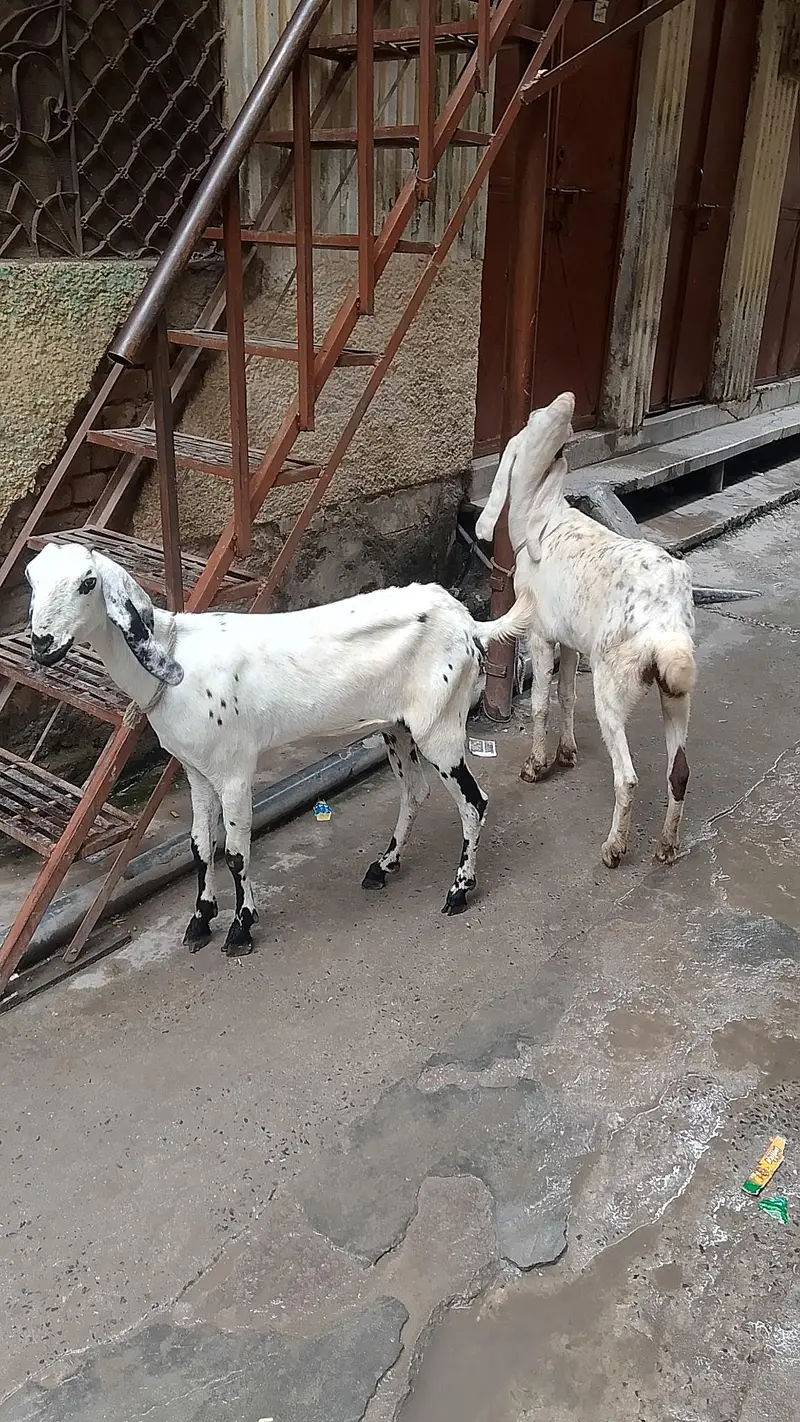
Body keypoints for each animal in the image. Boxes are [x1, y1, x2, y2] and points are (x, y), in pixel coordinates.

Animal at [26, 543, 532, 954]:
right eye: (31, 578)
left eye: (88, 582)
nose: (42, 643)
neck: (175, 661)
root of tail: (468, 621)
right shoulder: (196, 771)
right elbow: (199, 846)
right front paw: (200, 921)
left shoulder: (234, 771)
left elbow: (235, 851)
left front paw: (240, 929)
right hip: (398, 728)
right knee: (415, 792)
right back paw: (383, 866)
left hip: (440, 726)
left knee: (473, 802)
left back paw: (459, 891)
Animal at [476, 391, 697, 868]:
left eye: (530, 418)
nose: (568, 398)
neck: (537, 515)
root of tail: (665, 623)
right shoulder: (571, 640)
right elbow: (566, 694)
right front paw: (567, 754)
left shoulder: (540, 634)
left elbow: (541, 701)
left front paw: (537, 766)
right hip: (678, 687)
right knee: (680, 771)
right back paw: (667, 846)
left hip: (613, 683)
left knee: (628, 777)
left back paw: (614, 848)